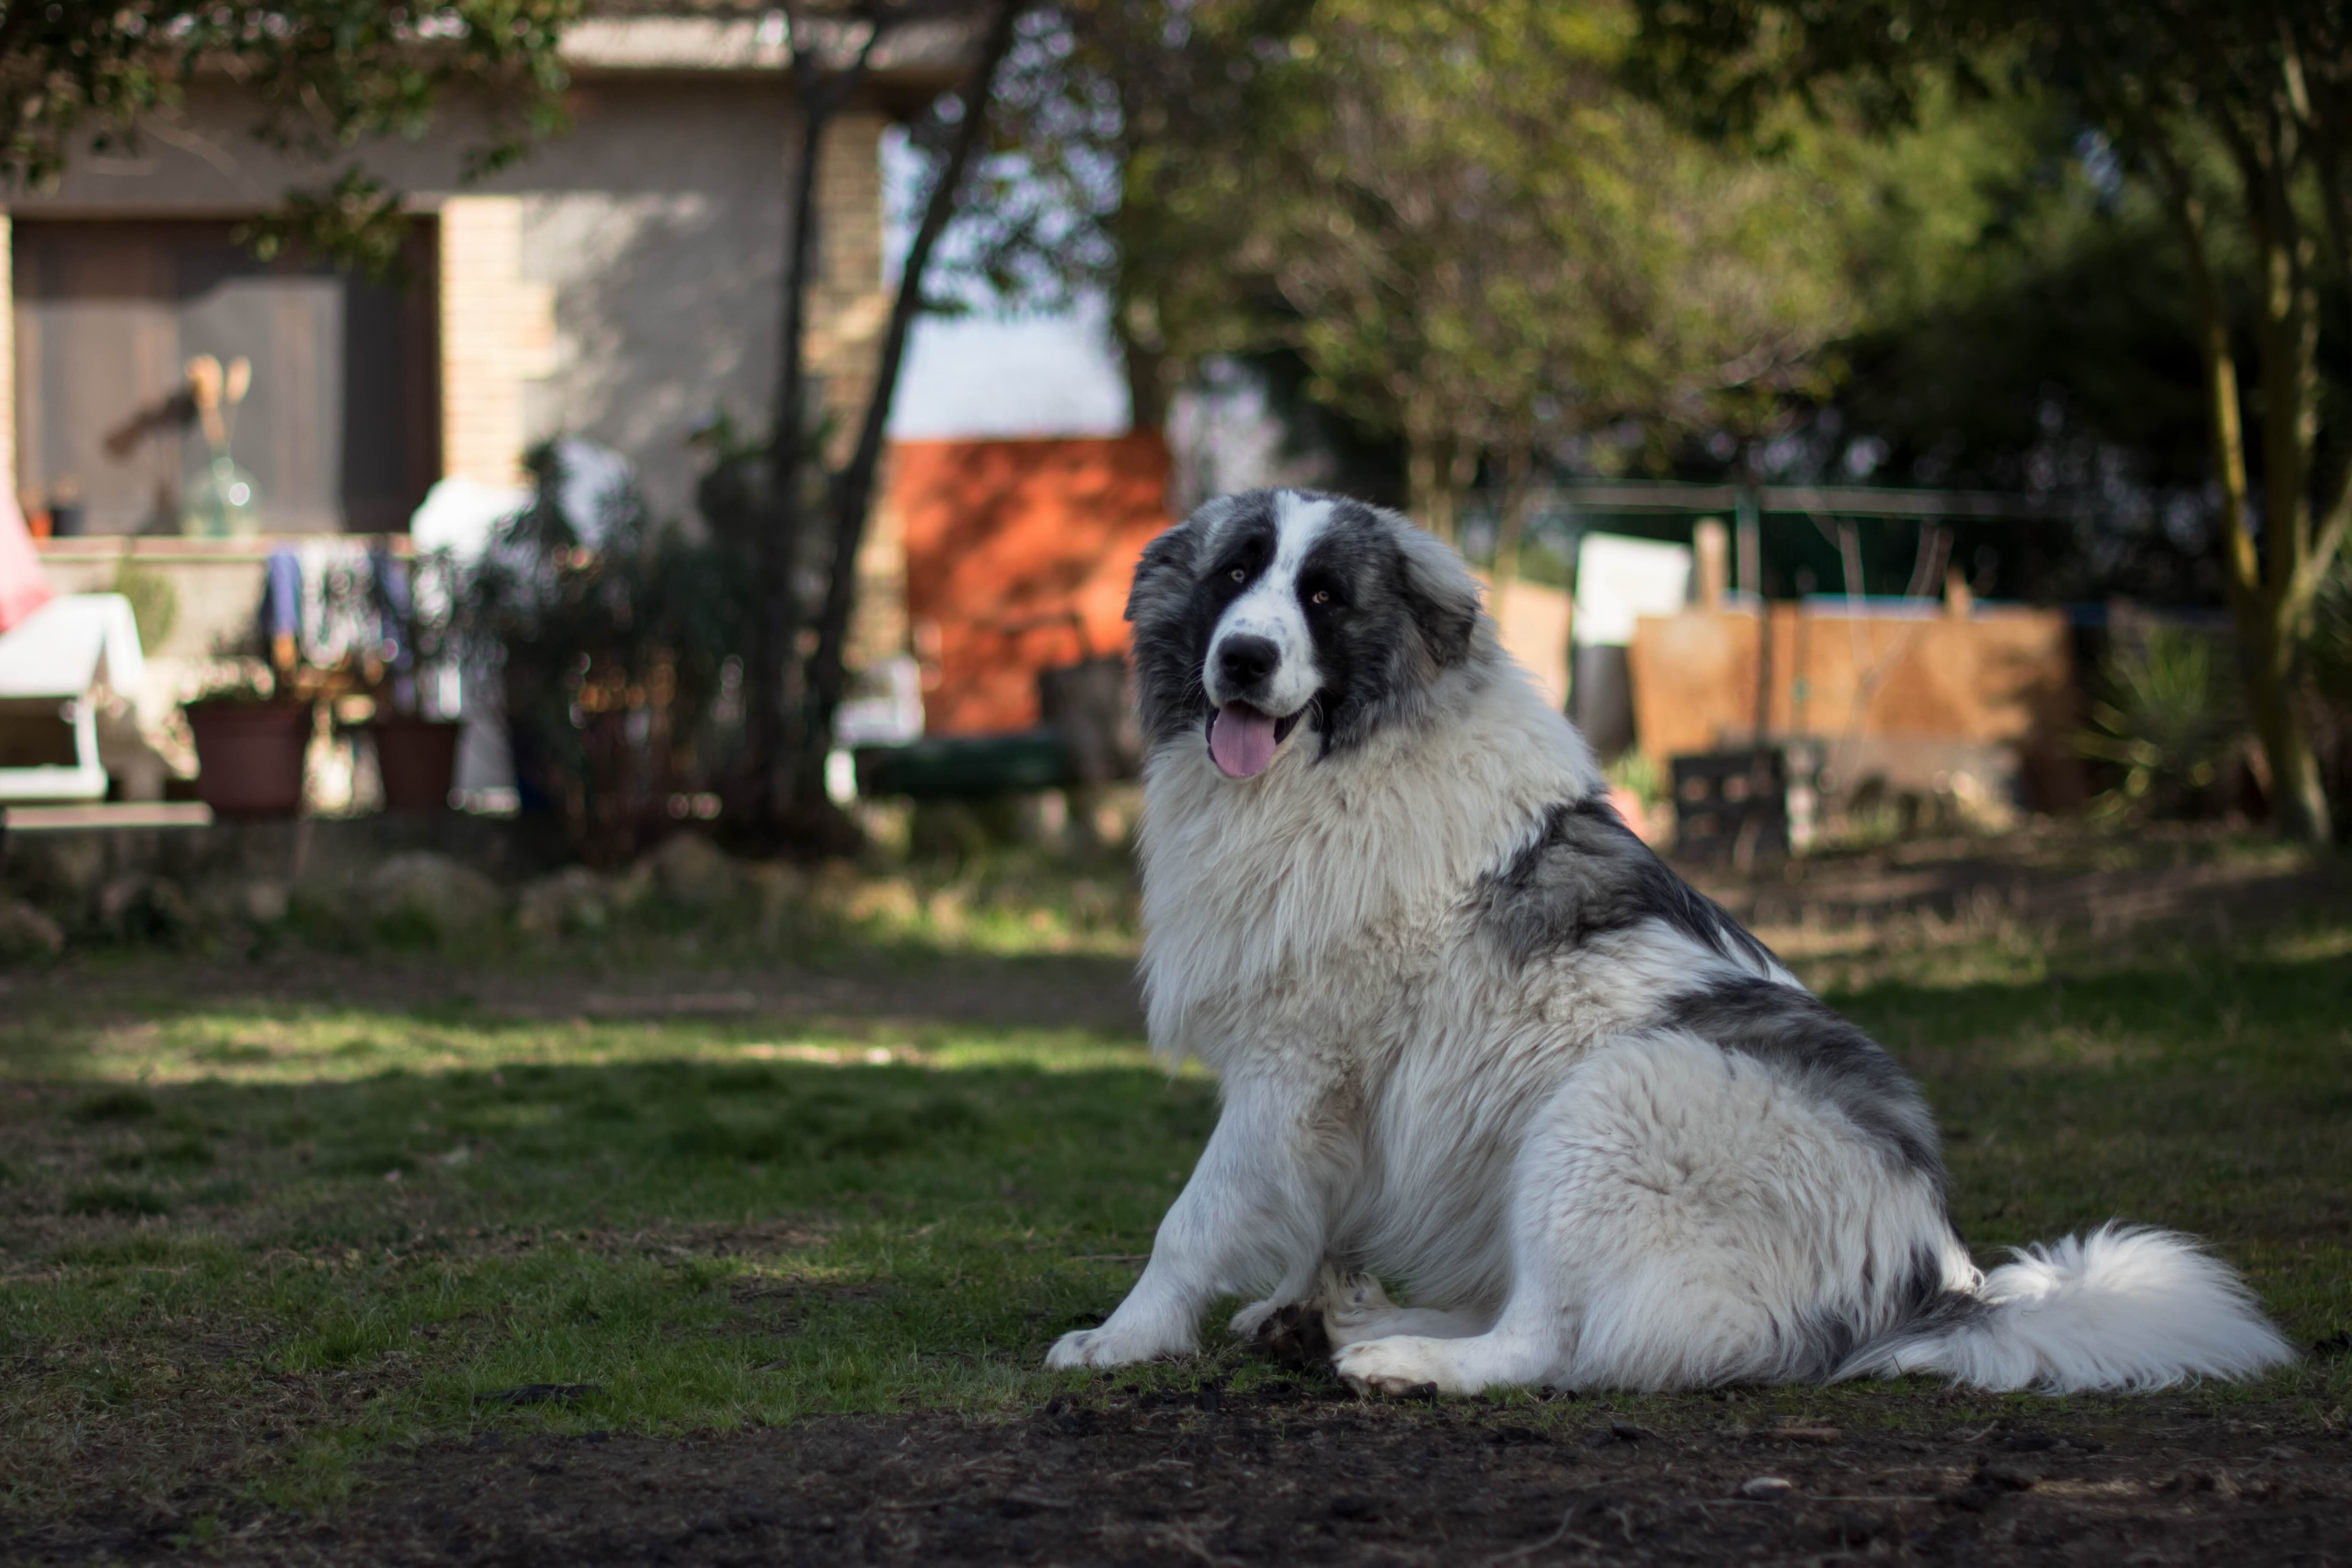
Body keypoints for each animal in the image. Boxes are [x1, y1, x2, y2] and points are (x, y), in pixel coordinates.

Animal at [1040, 491, 2286, 1401]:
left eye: (1322, 595)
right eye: (1231, 577)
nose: (1245, 658)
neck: (1350, 758)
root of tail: (1936, 1279)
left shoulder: (1292, 1063)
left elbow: (1193, 1216)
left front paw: (1125, 1336)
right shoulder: (1328, 1095)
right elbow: (1307, 1208)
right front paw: (1290, 1294)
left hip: (1606, 1102)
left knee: (1549, 1341)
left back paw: (1397, 1353)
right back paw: (1348, 1316)